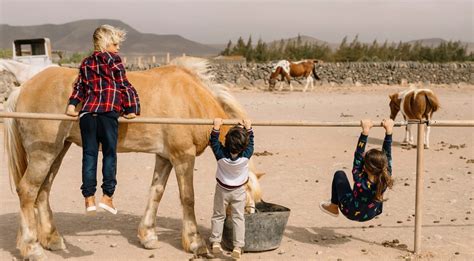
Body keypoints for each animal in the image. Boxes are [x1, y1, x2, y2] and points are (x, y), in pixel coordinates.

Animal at [2, 57, 262, 258]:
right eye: (245, 193)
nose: (250, 221)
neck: (191, 100)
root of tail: (23, 87)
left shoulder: (164, 158)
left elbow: (155, 193)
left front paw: (148, 236)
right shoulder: (183, 157)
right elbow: (188, 198)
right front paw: (195, 242)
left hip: (57, 151)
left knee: (43, 191)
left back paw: (51, 239)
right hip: (43, 154)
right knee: (28, 191)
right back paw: (32, 248)